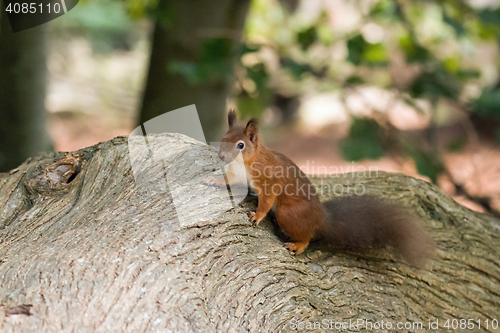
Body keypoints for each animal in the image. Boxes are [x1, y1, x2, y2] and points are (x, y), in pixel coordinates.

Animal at [204, 110, 434, 266]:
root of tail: (321, 219)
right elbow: (227, 180)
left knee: (307, 236)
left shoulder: (270, 179)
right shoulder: (236, 174)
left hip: (289, 214)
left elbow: (267, 198)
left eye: (241, 145)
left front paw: (258, 215)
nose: (221, 156)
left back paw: (297, 245)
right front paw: (213, 180)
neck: (246, 162)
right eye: (223, 138)